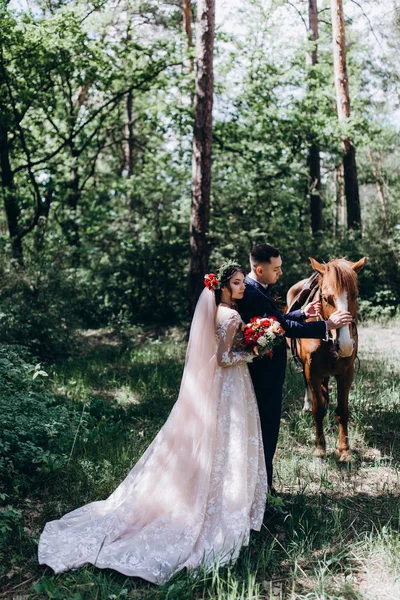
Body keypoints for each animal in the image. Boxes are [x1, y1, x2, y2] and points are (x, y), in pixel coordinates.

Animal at [288, 256, 366, 460]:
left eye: (355, 295)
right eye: (325, 297)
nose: (345, 345)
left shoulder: (346, 373)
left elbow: (343, 410)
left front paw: (344, 450)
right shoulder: (312, 372)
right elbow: (318, 409)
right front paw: (320, 448)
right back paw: (307, 404)